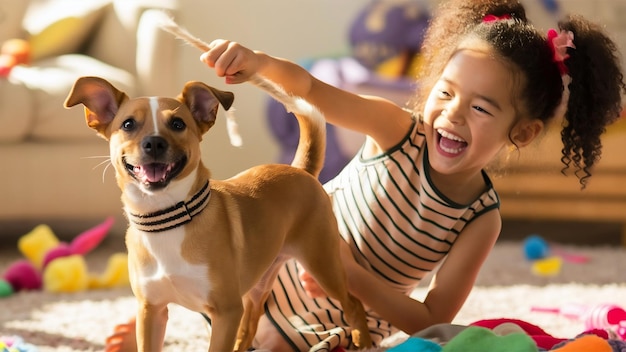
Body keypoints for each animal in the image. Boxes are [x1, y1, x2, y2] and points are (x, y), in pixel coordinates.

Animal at [64, 77, 370, 352]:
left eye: (178, 124)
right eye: (128, 124)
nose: (154, 143)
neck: (167, 219)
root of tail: (300, 170)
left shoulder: (225, 312)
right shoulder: (152, 311)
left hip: (321, 264)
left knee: (354, 304)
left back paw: (364, 342)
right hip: (258, 284)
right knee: (251, 324)